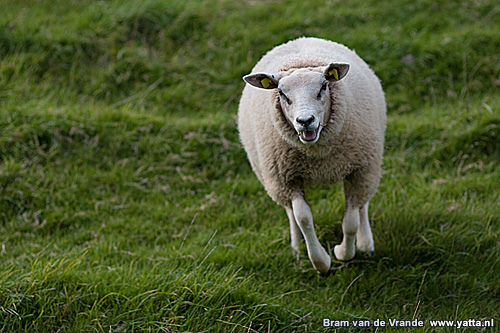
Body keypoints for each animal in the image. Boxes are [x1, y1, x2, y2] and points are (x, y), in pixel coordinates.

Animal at [238, 37, 386, 274]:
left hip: (369, 166)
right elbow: (303, 218)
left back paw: (366, 244)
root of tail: (302, 39)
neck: (319, 156)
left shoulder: (359, 169)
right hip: (275, 180)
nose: (305, 121)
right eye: (282, 93)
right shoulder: (287, 179)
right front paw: (321, 262)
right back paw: (297, 247)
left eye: (324, 86)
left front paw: (343, 253)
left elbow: (351, 220)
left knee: (363, 204)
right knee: (290, 212)